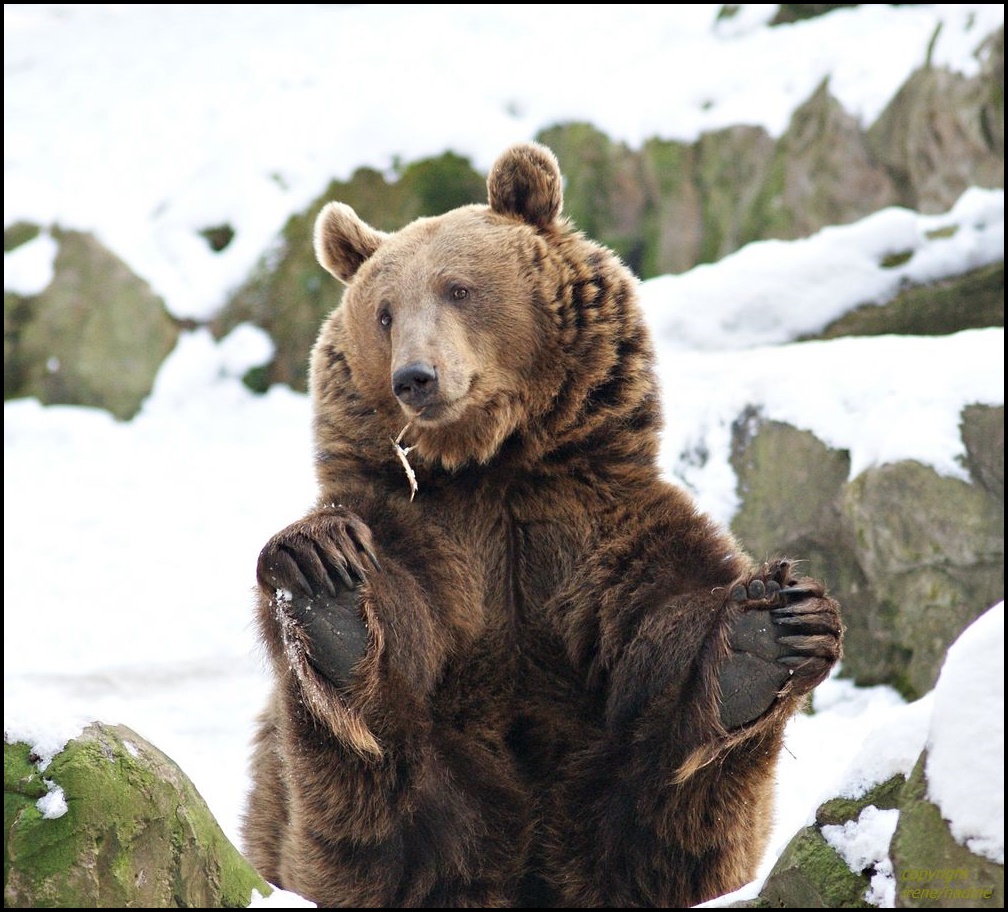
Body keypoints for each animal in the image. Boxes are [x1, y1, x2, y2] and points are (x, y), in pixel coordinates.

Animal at [241, 139, 842, 906]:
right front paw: (326, 581)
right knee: (385, 807)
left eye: (459, 289)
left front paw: (768, 631)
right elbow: (404, 615)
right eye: (383, 311)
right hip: (394, 803)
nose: (416, 377)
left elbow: (663, 615)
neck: (493, 463)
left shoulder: (592, 529)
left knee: (665, 810)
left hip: (600, 795)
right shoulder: (428, 530)